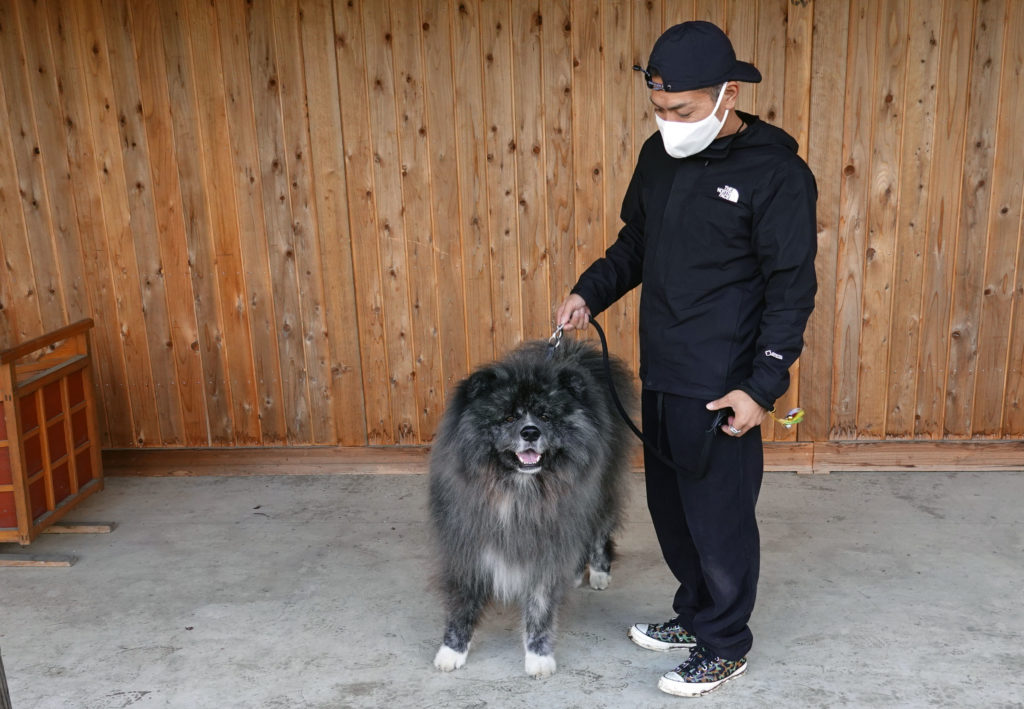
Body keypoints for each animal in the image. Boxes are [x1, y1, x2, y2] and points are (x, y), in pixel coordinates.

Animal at [428, 338, 634, 676]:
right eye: (509, 417)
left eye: (546, 417)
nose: (530, 432)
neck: (518, 490)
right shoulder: (467, 542)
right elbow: (463, 601)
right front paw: (452, 650)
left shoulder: (546, 546)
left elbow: (540, 606)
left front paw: (538, 657)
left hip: (599, 493)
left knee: (599, 531)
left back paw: (599, 572)